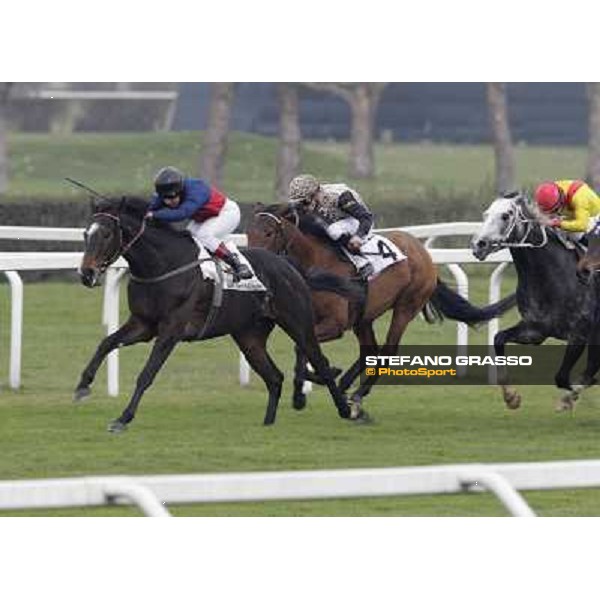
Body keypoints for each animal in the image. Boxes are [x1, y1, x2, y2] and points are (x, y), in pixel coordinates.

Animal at [75, 198, 352, 432]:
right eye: (86, 234)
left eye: (106, 234)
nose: (86, 274)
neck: (162, 266)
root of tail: (290, 266)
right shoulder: (143, 324)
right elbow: (106, 343)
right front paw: (82, 386)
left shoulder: (171, 330)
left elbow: (147, 374)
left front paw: (123, 418)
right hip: (249, 337)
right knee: (274, 377)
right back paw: (267, 423)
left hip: (299, 323)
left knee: (319, 362)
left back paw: (347, 411)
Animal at [246, 202, 516, 412]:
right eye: (248, 233)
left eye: (268, 233)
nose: (254, 262)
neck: (315, 262)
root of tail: (424, 253)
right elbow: (304, 348)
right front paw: (307, 388)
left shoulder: (336, 324)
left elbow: (302, 348)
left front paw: (306, 390)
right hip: (364, 316)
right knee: (369, 351)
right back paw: (345, 386)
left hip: (407, 305)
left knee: (387, 350)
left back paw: (358, 393)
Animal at [474, 190, 600, 410]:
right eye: (486, 214)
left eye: (505, 216)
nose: (478, 245)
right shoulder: (535, 330)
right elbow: (498, 338)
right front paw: (511, 396)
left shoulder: (579, 334)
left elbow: (562, 378)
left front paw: (569, 399)